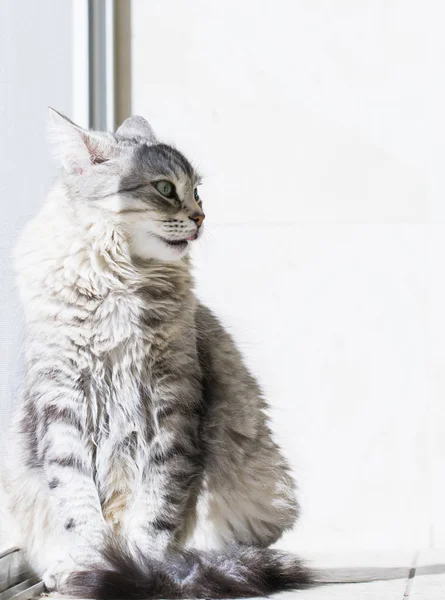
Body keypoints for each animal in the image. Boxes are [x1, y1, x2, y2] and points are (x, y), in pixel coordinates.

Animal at [0, 110, 312, 596]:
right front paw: (95, 565)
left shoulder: (173, 405)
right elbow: (77, 503)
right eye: (165, 188)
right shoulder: (63, 402)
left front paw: (139, 568)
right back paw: (64, 571)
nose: (201, 217)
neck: (118, 284)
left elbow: (156, 507)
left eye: (197, 191)